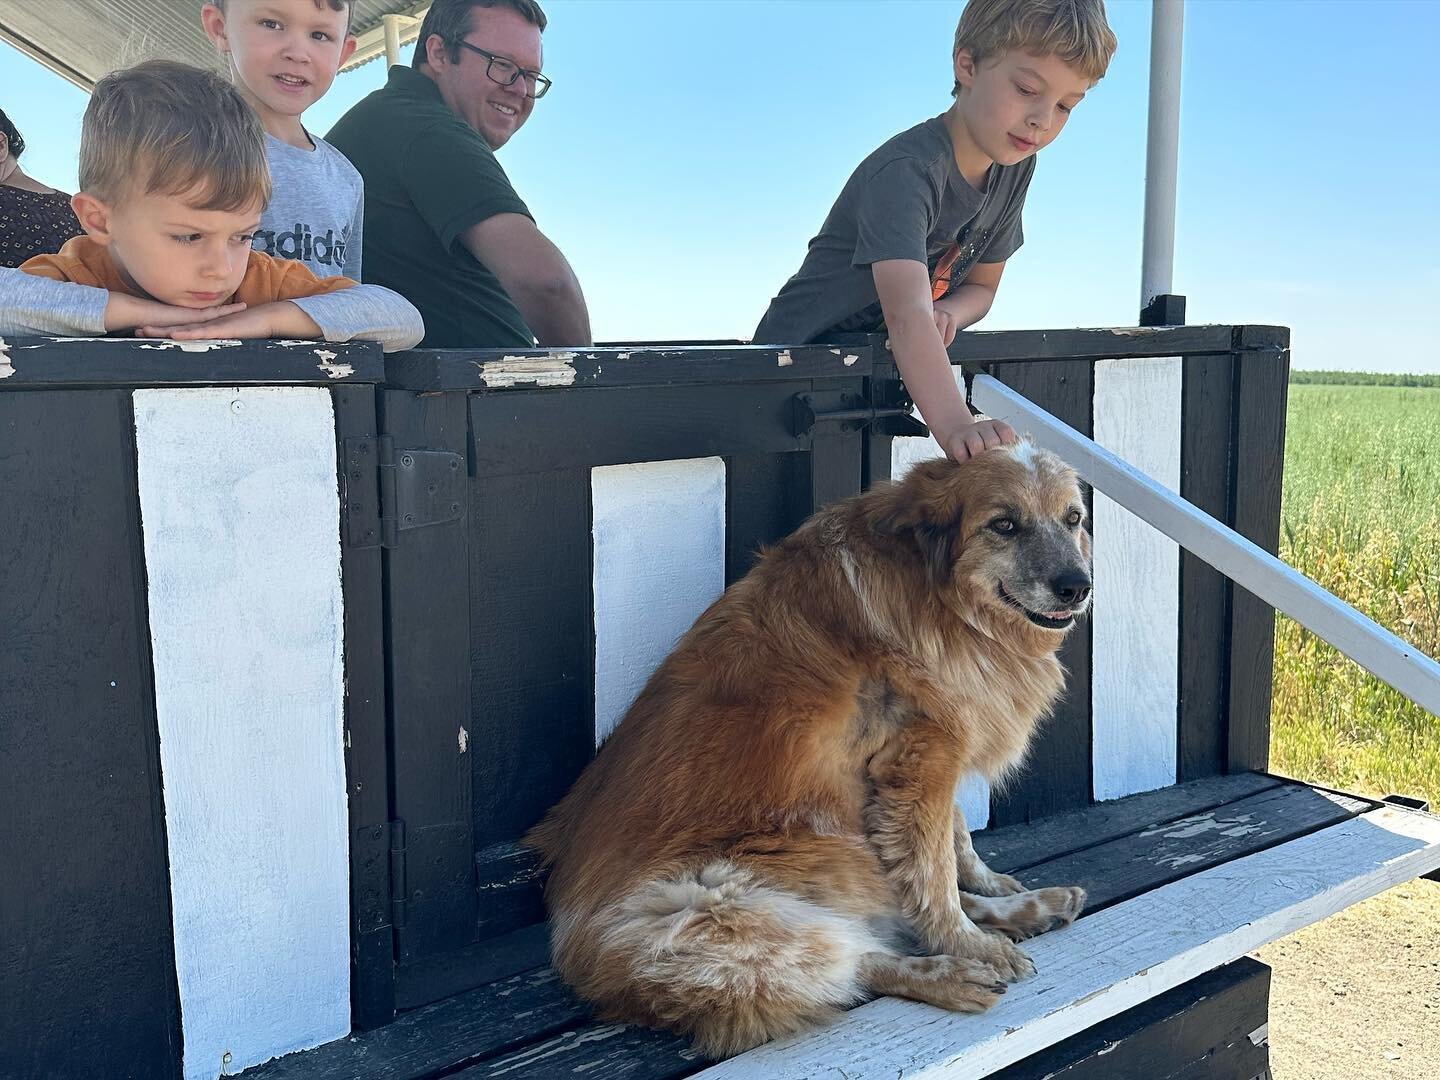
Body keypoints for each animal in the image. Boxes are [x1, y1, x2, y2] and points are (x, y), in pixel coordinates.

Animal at [529, 440, 1088, 1059]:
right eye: (1004, 525)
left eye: (1073, 519)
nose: (1077, 586)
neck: (935, 593)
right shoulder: (922, 759)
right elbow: (933, 873)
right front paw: (968, 944)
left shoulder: (920, 758)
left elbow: (953, 838)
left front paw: (986, 884)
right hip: (714, 908)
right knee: (855, 958)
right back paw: (955, 969)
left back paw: (1033, 909)